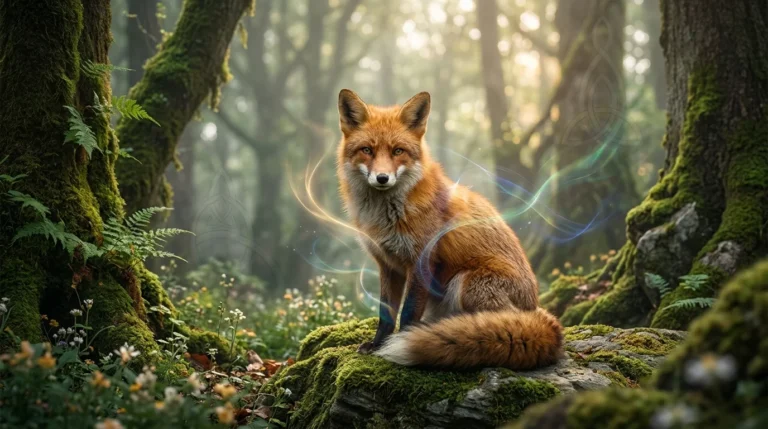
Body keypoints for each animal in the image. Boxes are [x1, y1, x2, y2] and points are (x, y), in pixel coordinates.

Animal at [336, 89, 563, 370]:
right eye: (367, 150)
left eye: (398, 151)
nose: (382, 178)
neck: (387, 215)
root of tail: (536, 308)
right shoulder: (388, 264)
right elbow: (385, 314)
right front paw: (378, 344)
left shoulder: (422, 261)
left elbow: (408, 312)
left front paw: (405, 339)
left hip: (467, 283)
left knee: (493, 322)